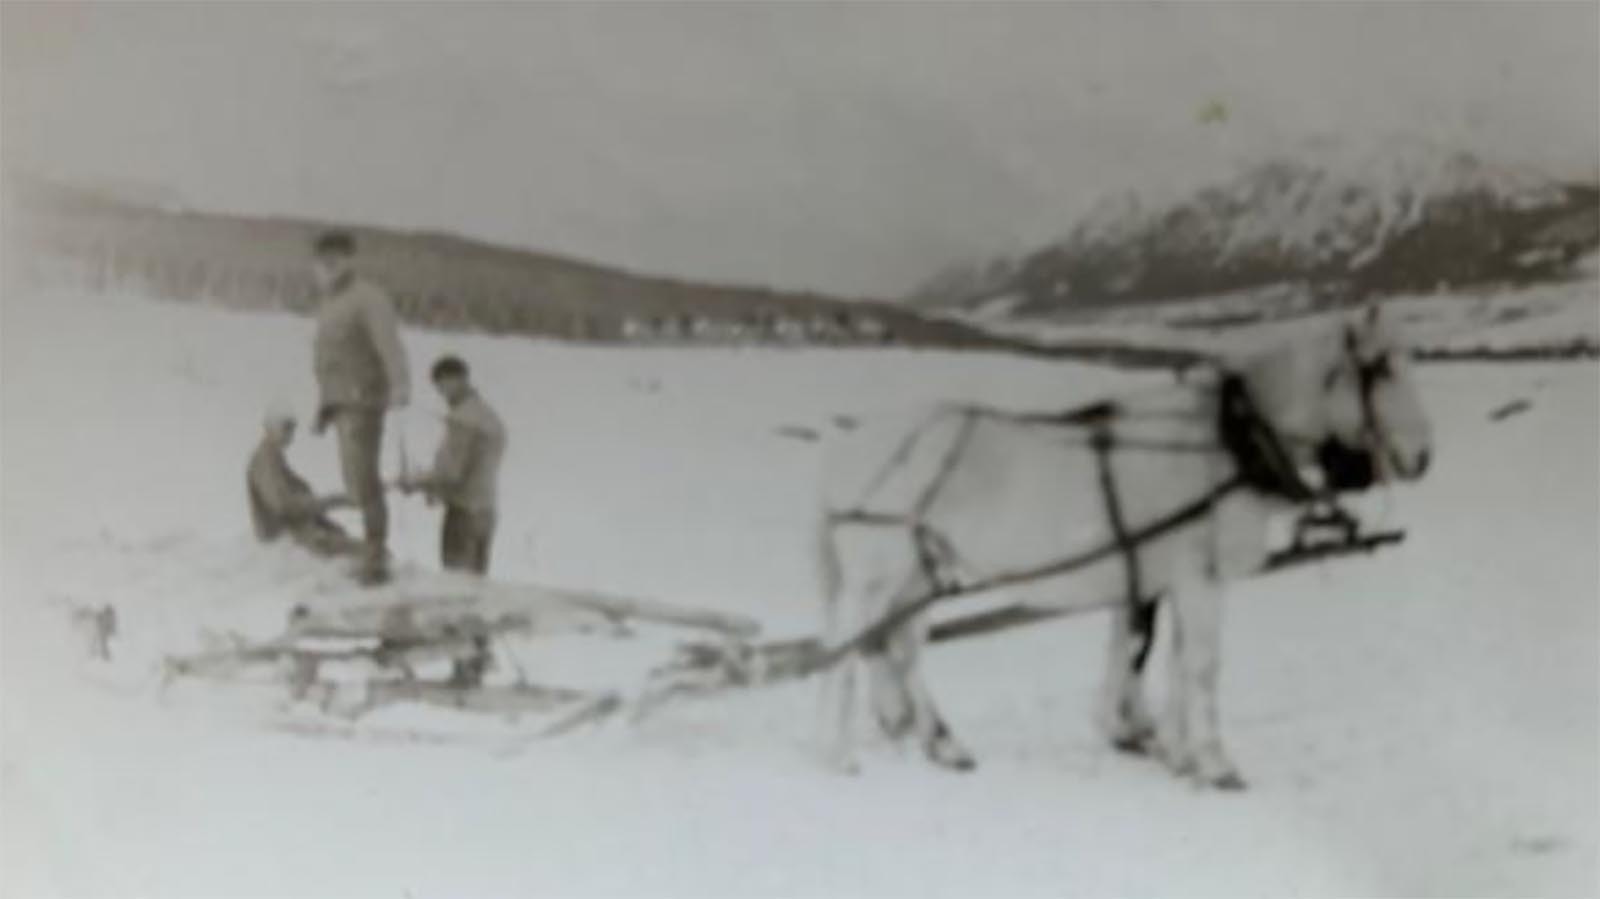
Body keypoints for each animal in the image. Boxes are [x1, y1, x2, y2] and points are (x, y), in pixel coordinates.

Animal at [819, 305, 1433, 783]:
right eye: (1381, 367)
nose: (1423, 457)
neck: (1225, 444)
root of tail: (855, 444)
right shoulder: (1200, 579)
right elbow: (1201, 666)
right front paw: (1215, 764)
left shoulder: (1166, 579)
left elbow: (1158, 658)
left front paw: (1173, 751)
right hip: (876, 574)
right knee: (848, 648)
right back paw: (842, 756)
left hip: (919, 572)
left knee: (901, 650)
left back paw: (941, 744)